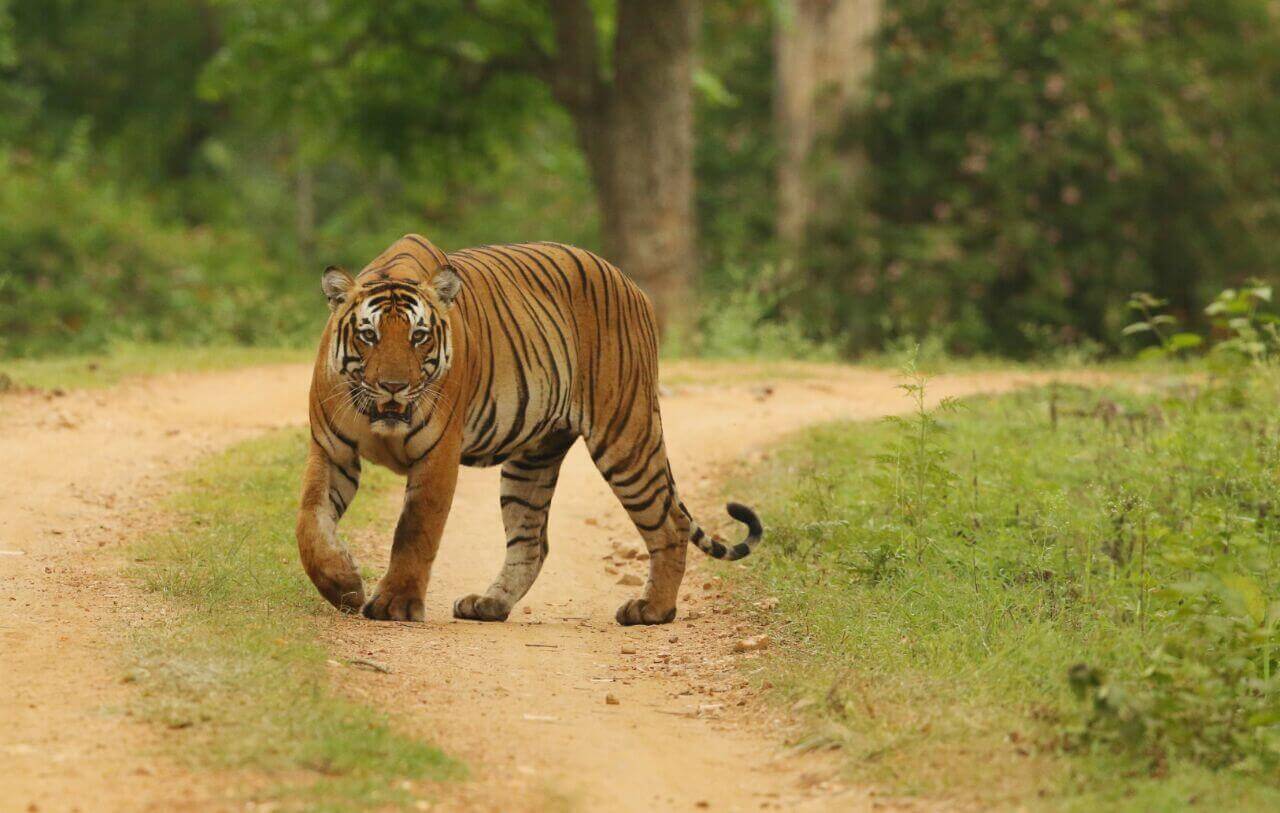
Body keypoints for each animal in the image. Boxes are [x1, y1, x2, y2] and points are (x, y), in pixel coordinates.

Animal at [299, 231, 757, 627]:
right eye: (369, 335)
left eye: (419, 336)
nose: (394, 386)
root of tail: (632, 284)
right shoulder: (331, 450)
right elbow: (310, 524)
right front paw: (344, 585)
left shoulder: (438, 455)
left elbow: (415, 529)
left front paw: (394, 604)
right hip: (534, 458)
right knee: (533, 541)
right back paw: (489, 603)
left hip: (626, 434)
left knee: (670, 524)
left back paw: (652, 609)